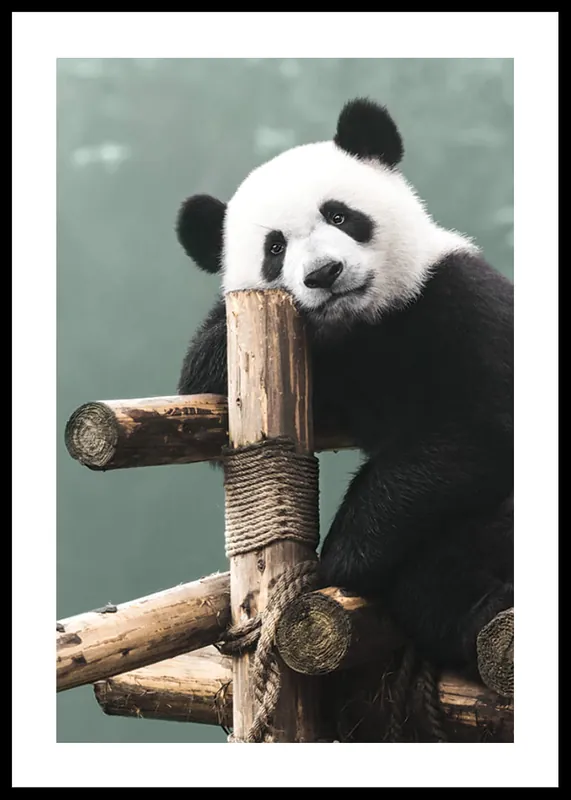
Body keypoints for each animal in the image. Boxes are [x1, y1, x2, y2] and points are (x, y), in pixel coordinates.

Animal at [175, 98, 513, 679]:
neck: (366, 324)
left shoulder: (461, 301)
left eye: (338, 215)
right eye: (274, 247)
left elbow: (473, 428)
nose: (324, 273)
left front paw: (341, 556)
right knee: (436, 582)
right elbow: (200, 383)